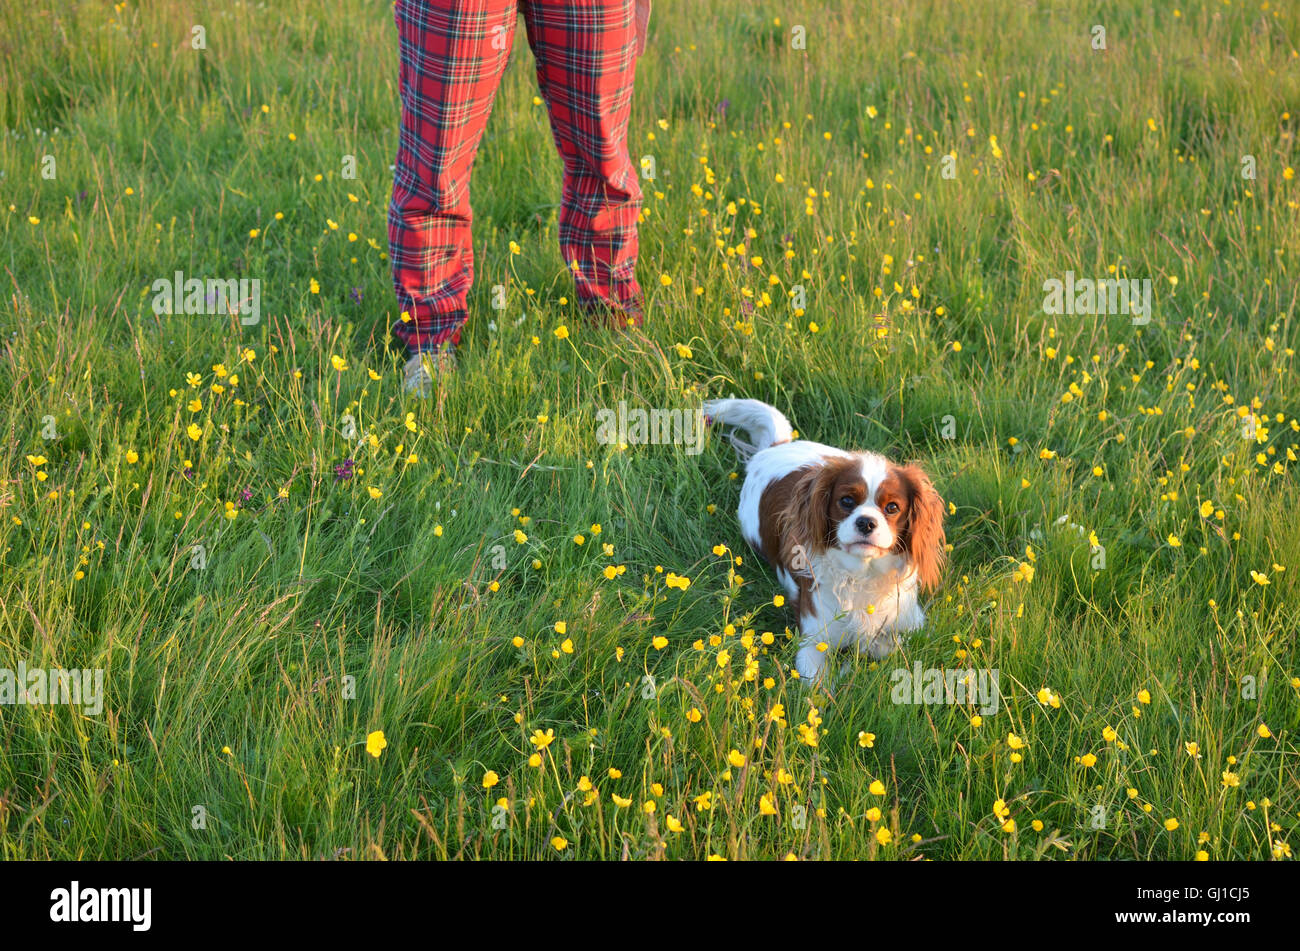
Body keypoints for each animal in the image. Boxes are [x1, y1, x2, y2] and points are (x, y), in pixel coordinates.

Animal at [707, 400, 951, 685]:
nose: (866, 522)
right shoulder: (812, 644)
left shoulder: (914, 626)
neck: (862, 576)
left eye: (892, 507)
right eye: (846, 501)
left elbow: (896, 645)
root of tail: (774, 447)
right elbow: (820, 688)